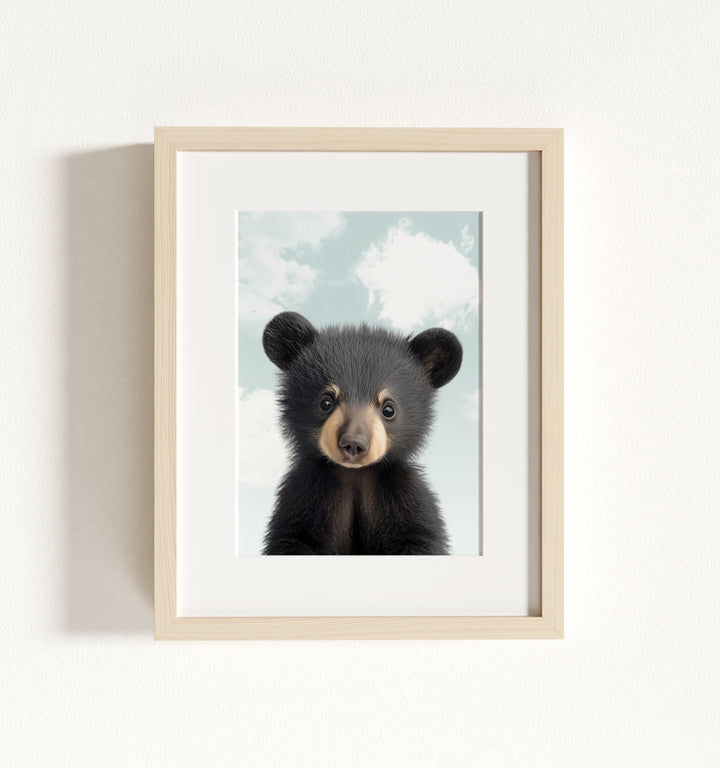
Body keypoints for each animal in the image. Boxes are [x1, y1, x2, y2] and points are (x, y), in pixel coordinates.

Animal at [261, 311, 463, 555]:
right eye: (326, 402)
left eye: (389, 409)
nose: (354, 444)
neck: (355, 474)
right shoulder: (304, 496)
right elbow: (293, 536)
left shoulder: (403, 495)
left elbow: (420, 536)